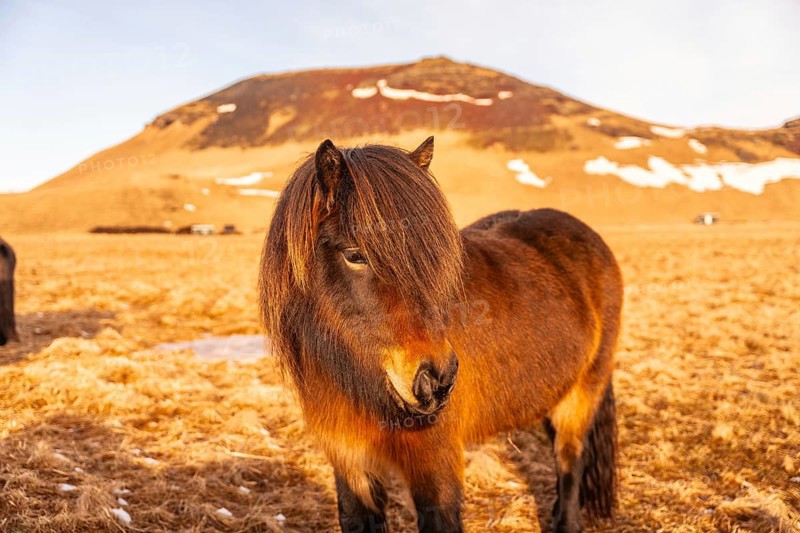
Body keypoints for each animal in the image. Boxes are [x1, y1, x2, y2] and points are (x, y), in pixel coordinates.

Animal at [259, 137, 622, 533]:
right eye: (355, 255)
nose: (437, 381)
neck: (357, 383)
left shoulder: (436, 470)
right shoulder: (350, 465)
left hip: (583, 393)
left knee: (569, 460)